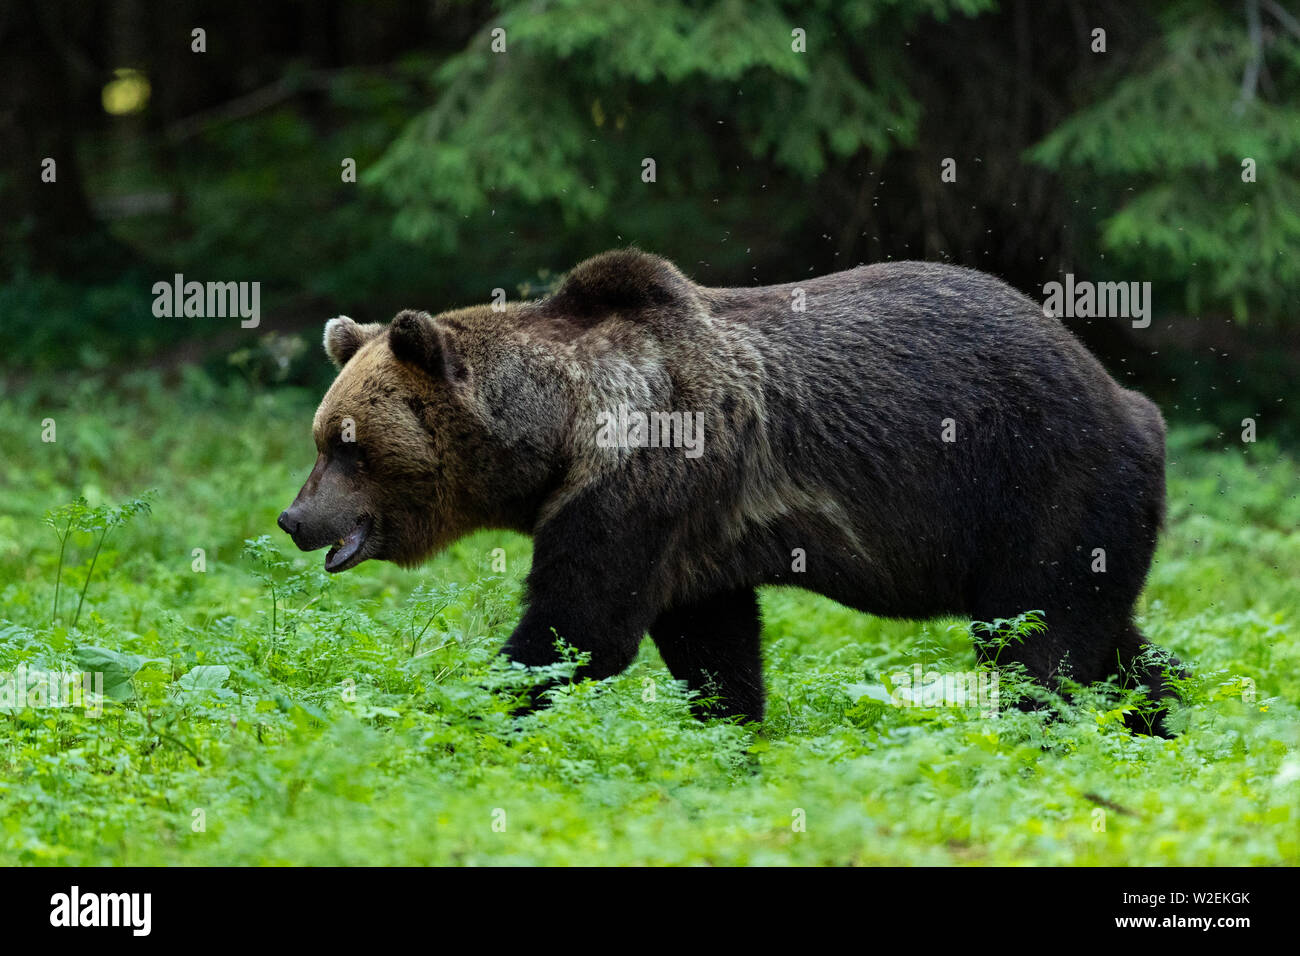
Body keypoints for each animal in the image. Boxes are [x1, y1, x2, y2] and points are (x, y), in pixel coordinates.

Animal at [276, 247, 1180, 733]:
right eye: (323, 440)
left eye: (350, 447)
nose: (294, 517)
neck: (561, 432)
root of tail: (1130, 400)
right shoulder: (693, 539)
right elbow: (712, 649)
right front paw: (732, 736)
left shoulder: (642, 479)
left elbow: (577, 630)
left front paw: (480, 718)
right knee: (1111, 641)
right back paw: (1163, 722)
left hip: (1046, 486)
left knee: (1039, 644)